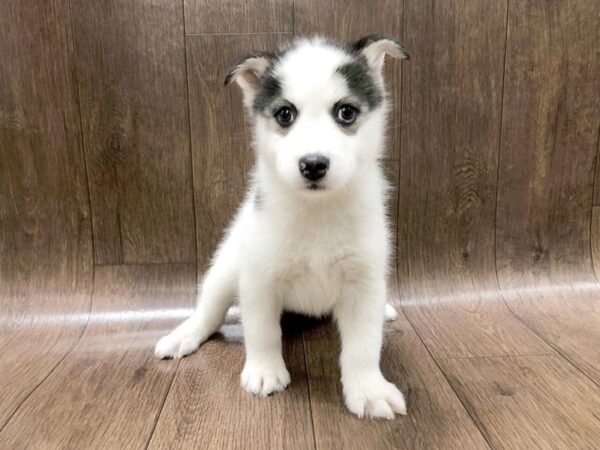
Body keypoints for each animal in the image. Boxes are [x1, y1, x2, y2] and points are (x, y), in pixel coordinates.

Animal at [155, 34, 410, 418]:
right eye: (284, 114)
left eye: (346, 112)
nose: (313, 164)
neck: (317, 211)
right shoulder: (258, 278)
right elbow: (262, 331)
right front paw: (264, 371)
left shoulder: (364, 281)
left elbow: (363, 345)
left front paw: (368, 389)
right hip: (227, 265)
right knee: (209, 312)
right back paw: (183, 335)